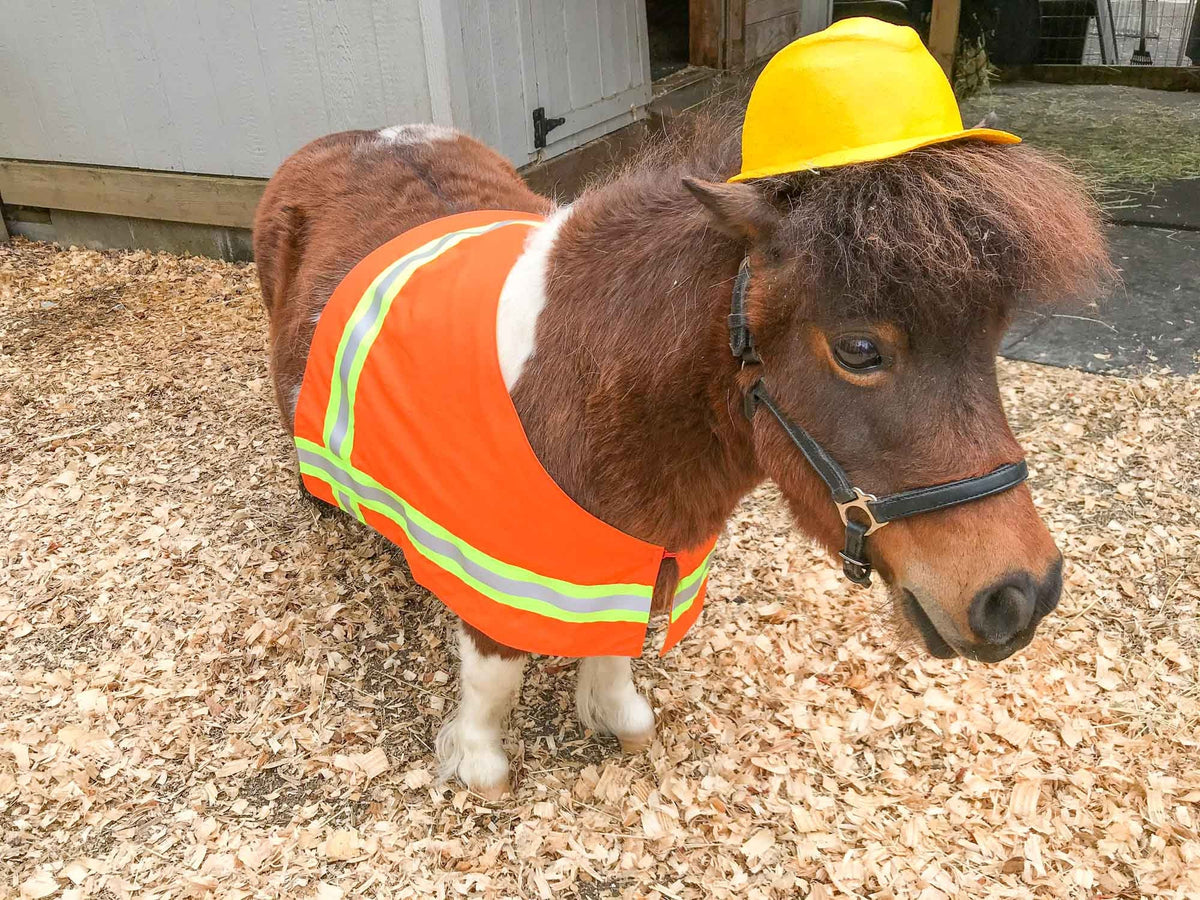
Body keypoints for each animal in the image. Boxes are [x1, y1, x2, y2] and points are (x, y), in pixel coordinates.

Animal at [253, 115, 1111, 798]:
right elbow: (495, 675)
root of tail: (360, 135)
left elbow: (617, 636)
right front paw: (479, 766)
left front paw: (614, 714)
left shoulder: (639, 548)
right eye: (860, 350)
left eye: (994, 341)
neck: (575, 381)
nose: (1023, 595)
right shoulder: (490, 564)